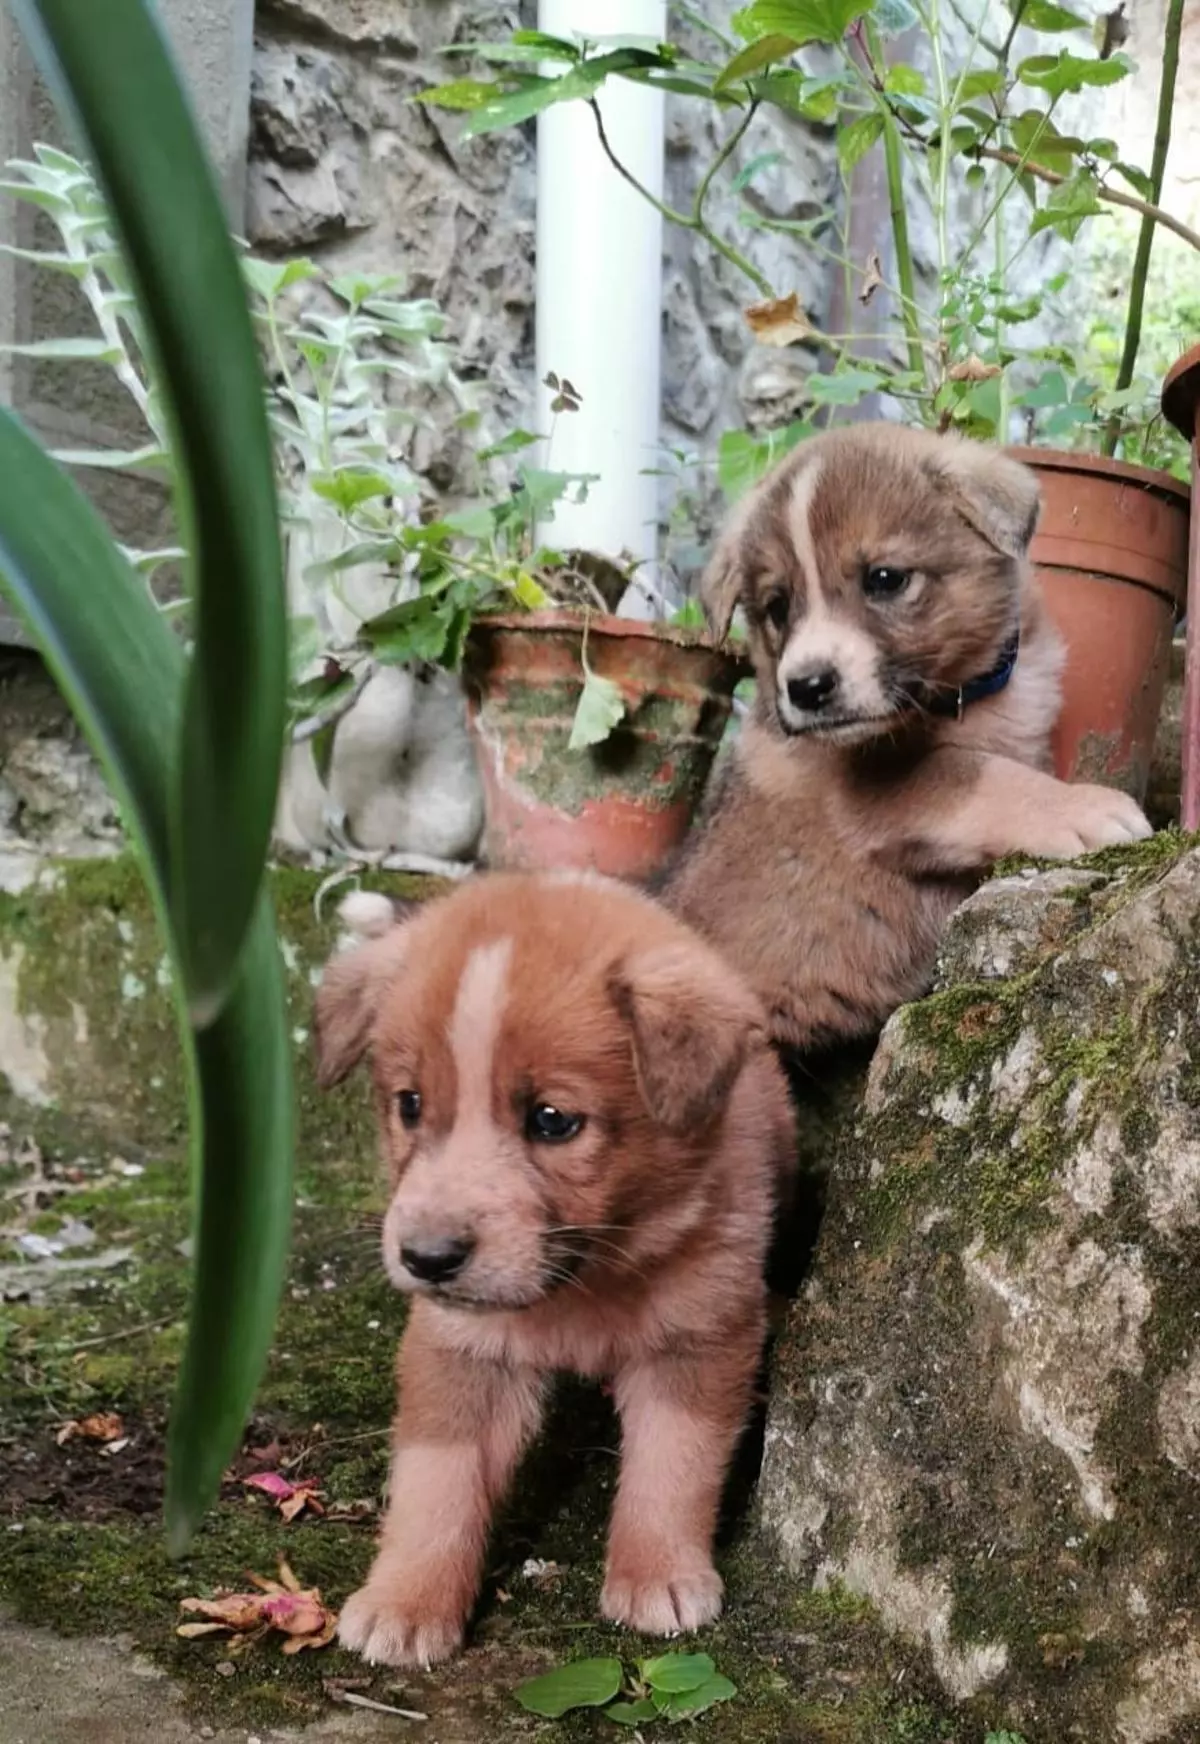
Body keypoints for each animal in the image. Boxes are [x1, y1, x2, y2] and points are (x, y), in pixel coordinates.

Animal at [315, 878, 795, 1667]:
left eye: (551, 1119)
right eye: (409, 1105)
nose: (428, 1259)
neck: (583, 1286)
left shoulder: (700, 1337)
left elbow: (672, 1467)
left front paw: (659, 1574)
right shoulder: (460, 1356)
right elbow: (434, 1484)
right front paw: (406, 1600)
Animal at [659, 422, 1158, 1046]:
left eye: (885, 579)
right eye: (777, 607)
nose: (806, 687)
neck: (968, 697)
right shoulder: (875, 798)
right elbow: (974, 770)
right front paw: (1082, 808)